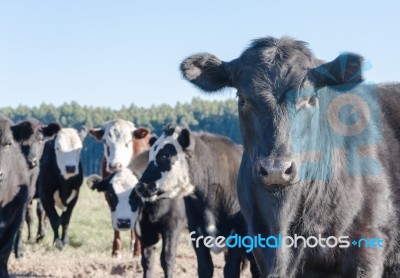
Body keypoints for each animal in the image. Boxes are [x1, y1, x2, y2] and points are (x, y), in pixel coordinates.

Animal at [87, 150, 186, 278]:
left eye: (135, 194)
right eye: (110, 194)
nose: (123, 222)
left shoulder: (173, 224)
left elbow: (167, 259)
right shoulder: (146, 231)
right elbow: (147, 261)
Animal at [90, 119, 151, 258]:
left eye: (128, 141)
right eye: (105, 141)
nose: (115, 165)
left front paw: (138, 251)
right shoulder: (109, 196)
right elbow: (115, 223)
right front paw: (116, 251)